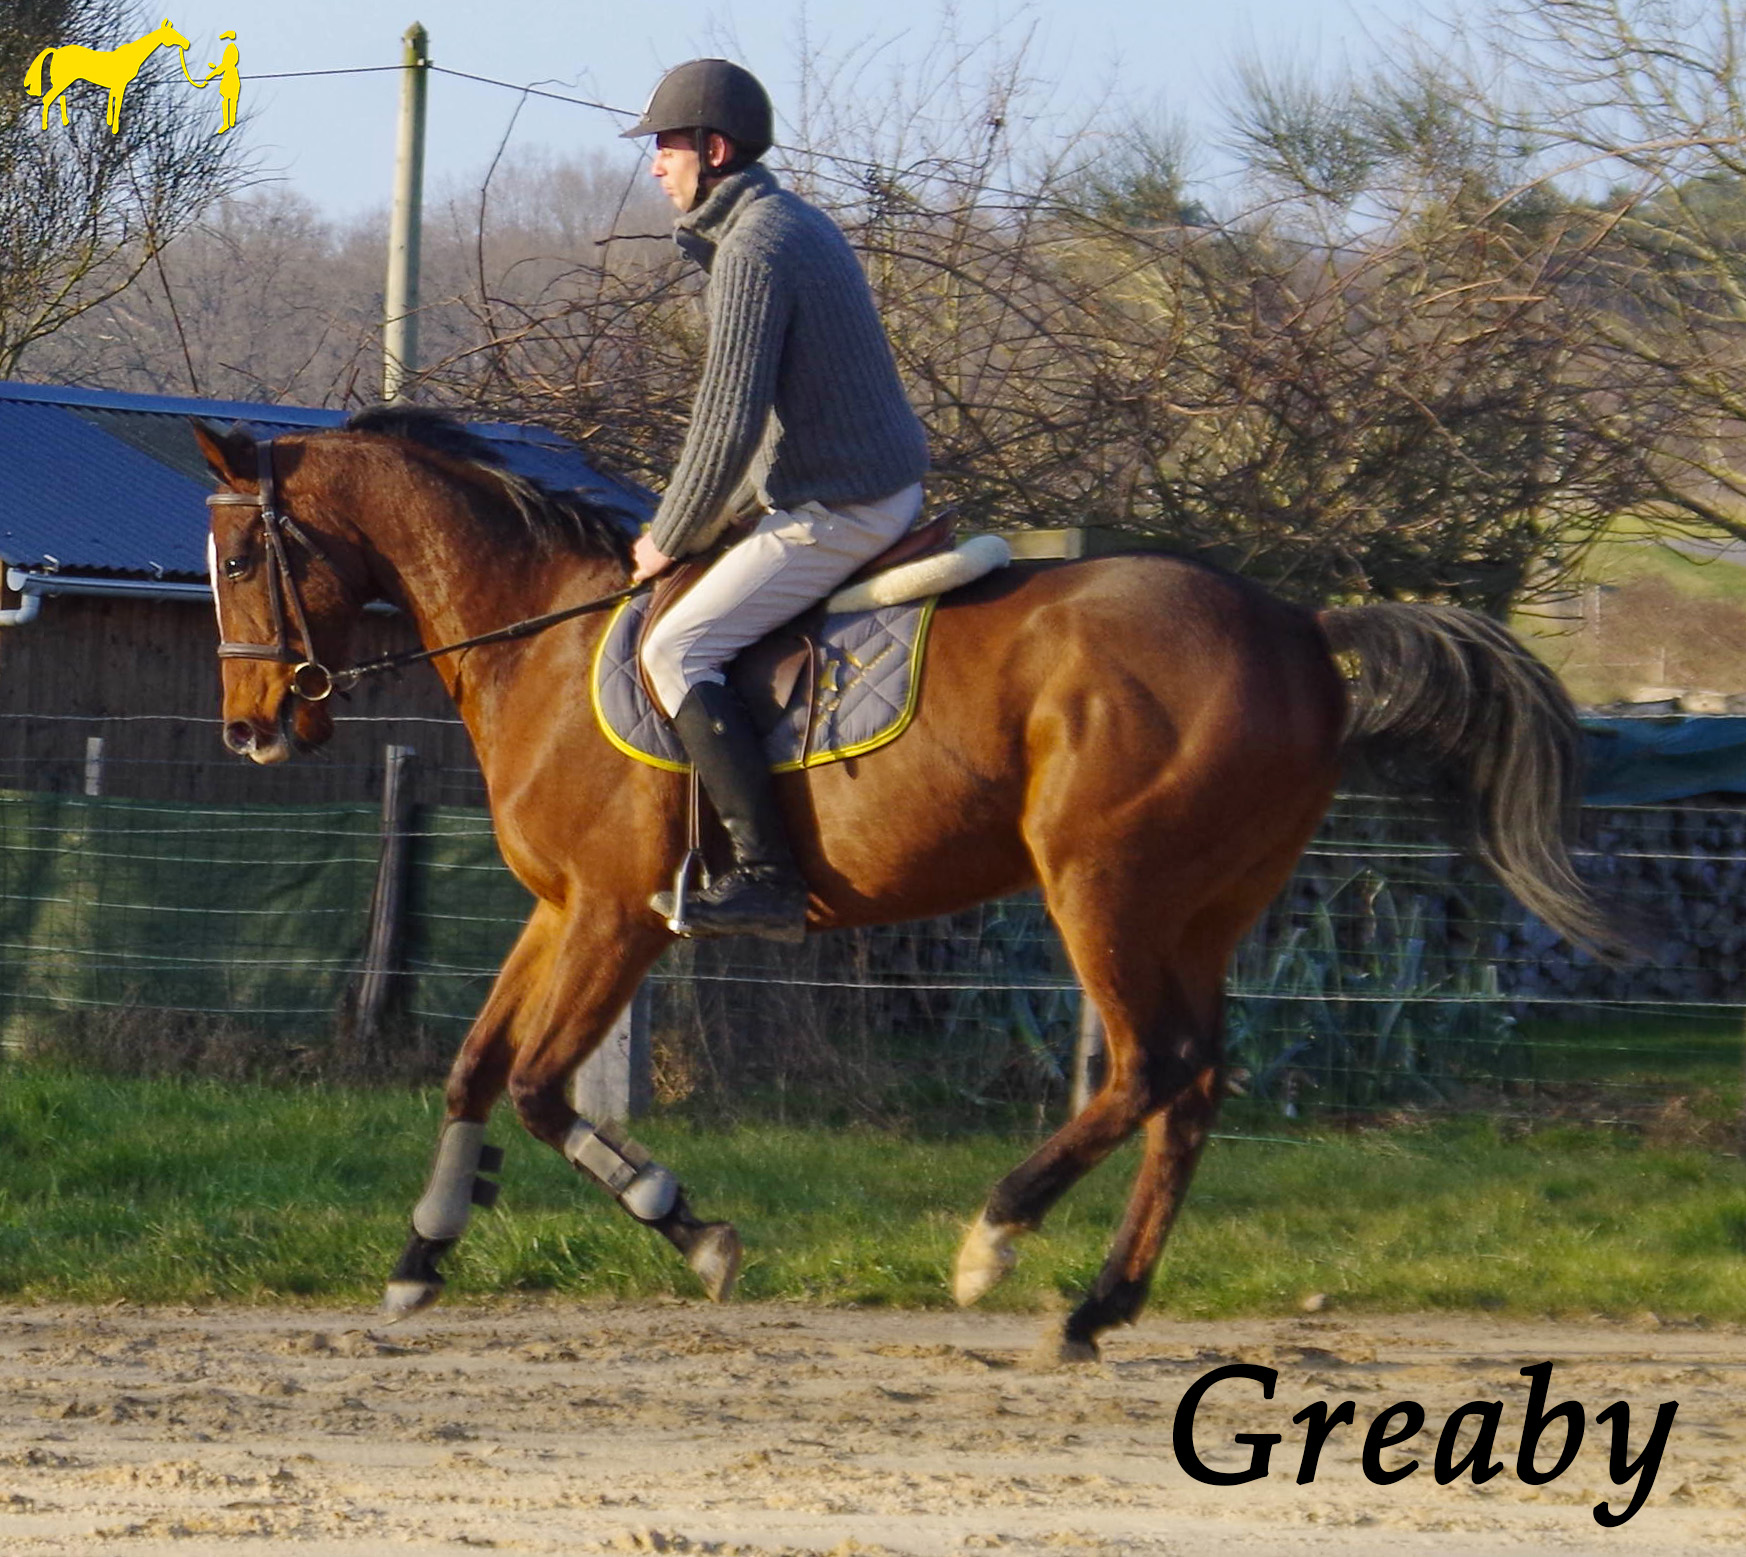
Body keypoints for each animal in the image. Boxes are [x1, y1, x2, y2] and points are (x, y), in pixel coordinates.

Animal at [191, 406, 1620, 1354]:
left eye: (245, 560)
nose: (251, 731)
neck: (537, 642)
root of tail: (1301, 632)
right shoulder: (559, 912)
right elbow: (476, 1069)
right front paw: (422, 1252)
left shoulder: (616, 921)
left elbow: (542, 1088)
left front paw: (692, 1230)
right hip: (1200, 910)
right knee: (1196, 1087)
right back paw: (1101, 1304)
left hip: (1104, 889)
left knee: (1152, 1066)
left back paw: (996, 1244)